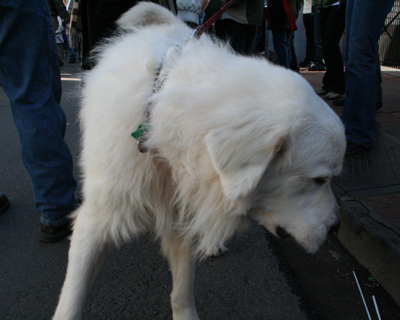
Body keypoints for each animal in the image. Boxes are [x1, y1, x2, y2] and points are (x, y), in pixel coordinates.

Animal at [53, 3, 346, 320]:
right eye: (319, 180)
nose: (336, 227)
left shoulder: (182, 213)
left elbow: (183, 289)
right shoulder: (95, 219)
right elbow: (72, 297)